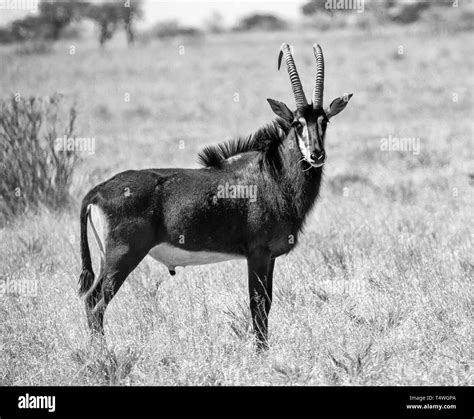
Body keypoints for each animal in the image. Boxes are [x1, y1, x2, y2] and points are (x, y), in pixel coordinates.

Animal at [78, 42, 352, 352]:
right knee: (95, 304)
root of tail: (98, 190)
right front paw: (260, 354)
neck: (273, 175)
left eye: (324, 121)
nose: (316, 154)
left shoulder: (269, 257)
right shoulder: (257, 254)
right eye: (297, 123)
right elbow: (258, 305)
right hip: (121, 256)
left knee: (92, 301)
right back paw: (102, 355)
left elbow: (267, 304)